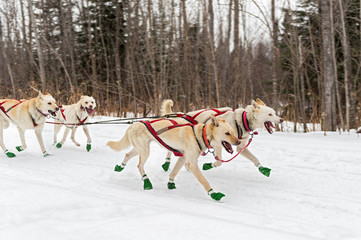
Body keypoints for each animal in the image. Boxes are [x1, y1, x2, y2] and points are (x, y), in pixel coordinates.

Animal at [107, 116, 242, 201]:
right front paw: (214, 194)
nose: (239, 142)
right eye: (227, 133)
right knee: (139, 166)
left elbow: (174, 172)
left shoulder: (182, 159)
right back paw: (147, 183)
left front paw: (170, 183)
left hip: (140, 149)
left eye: (232, 132)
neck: (200, 136)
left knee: (127, 155)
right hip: (145, 152)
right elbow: (205, 181)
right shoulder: (191, 164)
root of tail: (134, 124)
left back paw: (120, 167)